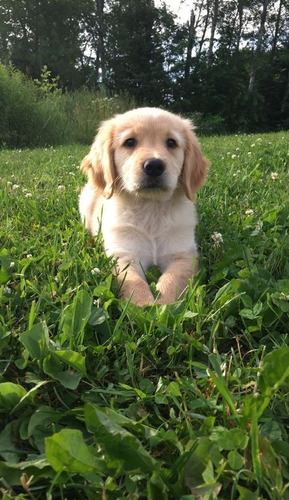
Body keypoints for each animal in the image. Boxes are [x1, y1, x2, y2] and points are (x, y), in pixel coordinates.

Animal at [79, 107, 207, 306]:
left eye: (171, 143)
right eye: (130, 142)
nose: (154, 166)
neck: (150, 208)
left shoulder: (184, 254)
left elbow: (172, 279)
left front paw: (163, 306)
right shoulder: (123, 255)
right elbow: (133, 282)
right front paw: (144, 305)